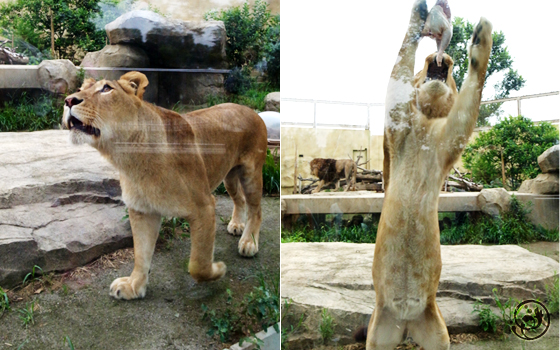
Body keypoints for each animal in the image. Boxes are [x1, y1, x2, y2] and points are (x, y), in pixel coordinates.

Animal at [62, 72, 268, 300]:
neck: (130, 156)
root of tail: (250, 109)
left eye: (106, 88)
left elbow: (198, 264)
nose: (68, 100)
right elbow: (141, 253)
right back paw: (237, 225)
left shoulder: (204, 206)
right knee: (239, 199)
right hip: (229, 176)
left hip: (251, 173)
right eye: (81, 89)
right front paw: (134, 285)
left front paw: (218, 270)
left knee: (256, 209)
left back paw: (249, 242)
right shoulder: (142, 210)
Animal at [366, 1, 492, 348]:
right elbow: (400, 67)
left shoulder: (450, 137)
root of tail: (405, 320)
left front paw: (481, 37)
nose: (438, 58)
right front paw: (419, 13)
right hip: (376, 335)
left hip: (439, 334)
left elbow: (472, 92)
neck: (426, 124)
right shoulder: (397, 122)